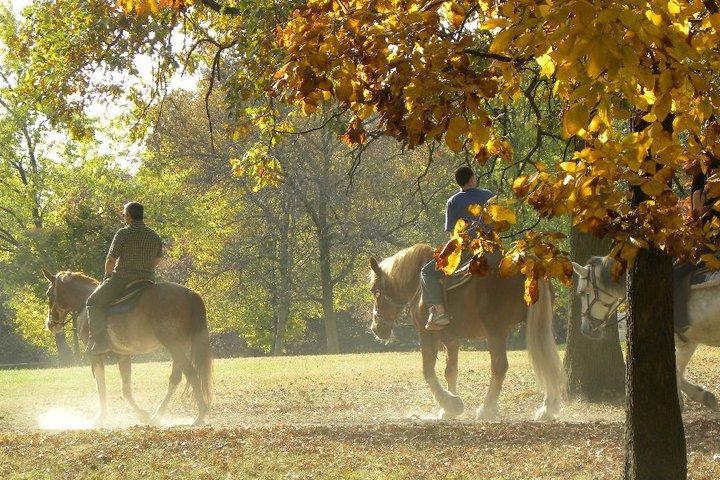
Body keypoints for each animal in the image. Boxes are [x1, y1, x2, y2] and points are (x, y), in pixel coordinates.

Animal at [41, 269, 213, 426]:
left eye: (49, 293)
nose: (50, 324)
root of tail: (189, 293)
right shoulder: (122, 354)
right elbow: (126, 389)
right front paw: (143, 415)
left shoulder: (95, 355)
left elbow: (101, 386)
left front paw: (100, 417)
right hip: (178, 346)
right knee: (176, 378)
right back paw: (157, 416)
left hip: (173, 345)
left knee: (190, 373)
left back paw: (200, 415)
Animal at [369, 244, 564, 420]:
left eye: (375, 292)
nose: (376, 328)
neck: (418, 283)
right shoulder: (450, 340)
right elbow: (450, 371)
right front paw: (447, 409)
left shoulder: (427, 334)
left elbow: (428, 371)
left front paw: (451, 404)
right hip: (539, 326)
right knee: (547, 358)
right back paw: (547, 408)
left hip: (496, 332)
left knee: (499, 366)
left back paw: (487, 409)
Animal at [572, 256, 719, 411]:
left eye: (582, 292)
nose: (585, 329)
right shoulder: (687, 342)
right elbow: (678, 372)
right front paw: (703, 396)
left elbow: (676, 372)